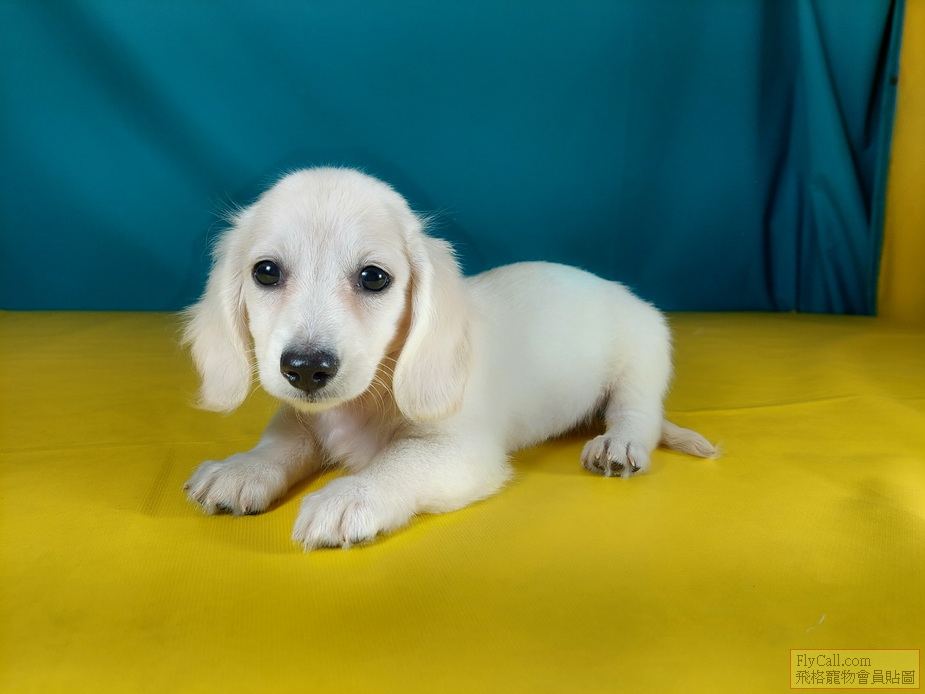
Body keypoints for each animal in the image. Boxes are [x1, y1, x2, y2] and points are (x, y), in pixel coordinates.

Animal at [182, 167, 717, 549]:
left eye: (374, 277)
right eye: (266, 272)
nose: (306, 369)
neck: (366, 399)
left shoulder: (462, 451)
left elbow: (398, 462)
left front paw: (350, 495)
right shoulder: (302, 418)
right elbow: (281, 441)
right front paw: (244, 469)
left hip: (642, 361)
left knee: (638, 416)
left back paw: (617, 444)